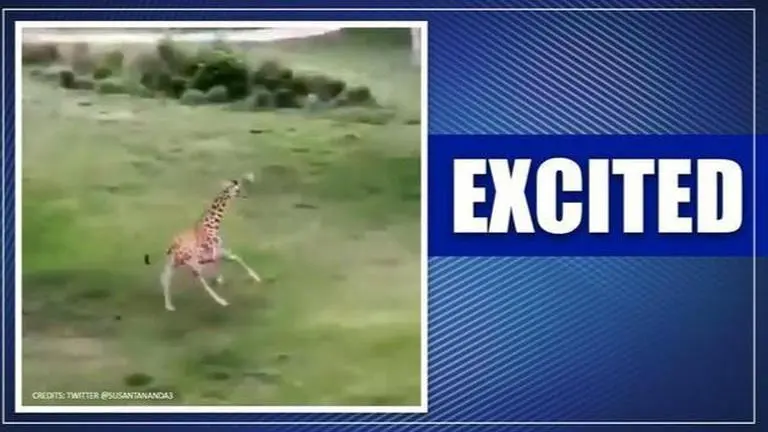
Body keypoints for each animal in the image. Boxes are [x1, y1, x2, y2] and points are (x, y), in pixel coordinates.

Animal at [144, 179, 262, 311]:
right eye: (238, 190)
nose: (245, 195)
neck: (212, 225)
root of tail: (173, 246)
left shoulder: (213, 254)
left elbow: (231, 260)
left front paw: (221, 280)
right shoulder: (217, 251)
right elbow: (237, 257)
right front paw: (256, 277)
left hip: (174, 262)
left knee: (165, 278)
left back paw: (169, 306)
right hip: (191, 263)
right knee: (199, 280)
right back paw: (222, 301)